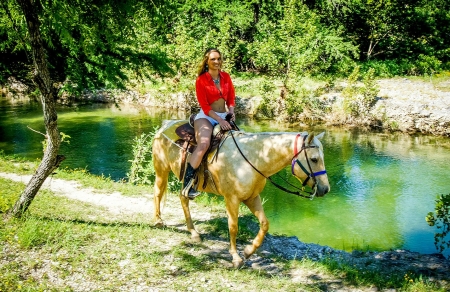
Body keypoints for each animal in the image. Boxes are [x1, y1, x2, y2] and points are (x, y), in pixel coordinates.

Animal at [152, 120, 330, 268]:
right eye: (314, 159)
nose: (325, 189)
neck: (253, 159)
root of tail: (165, 124)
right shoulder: (232, 199)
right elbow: (233, 227)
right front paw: (236, 257)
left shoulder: (252, 198)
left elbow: (264, 224)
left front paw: (248, 251)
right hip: (162, 170)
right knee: (158, 193)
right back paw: (159, 221)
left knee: (183, 198)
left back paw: (194, 233)